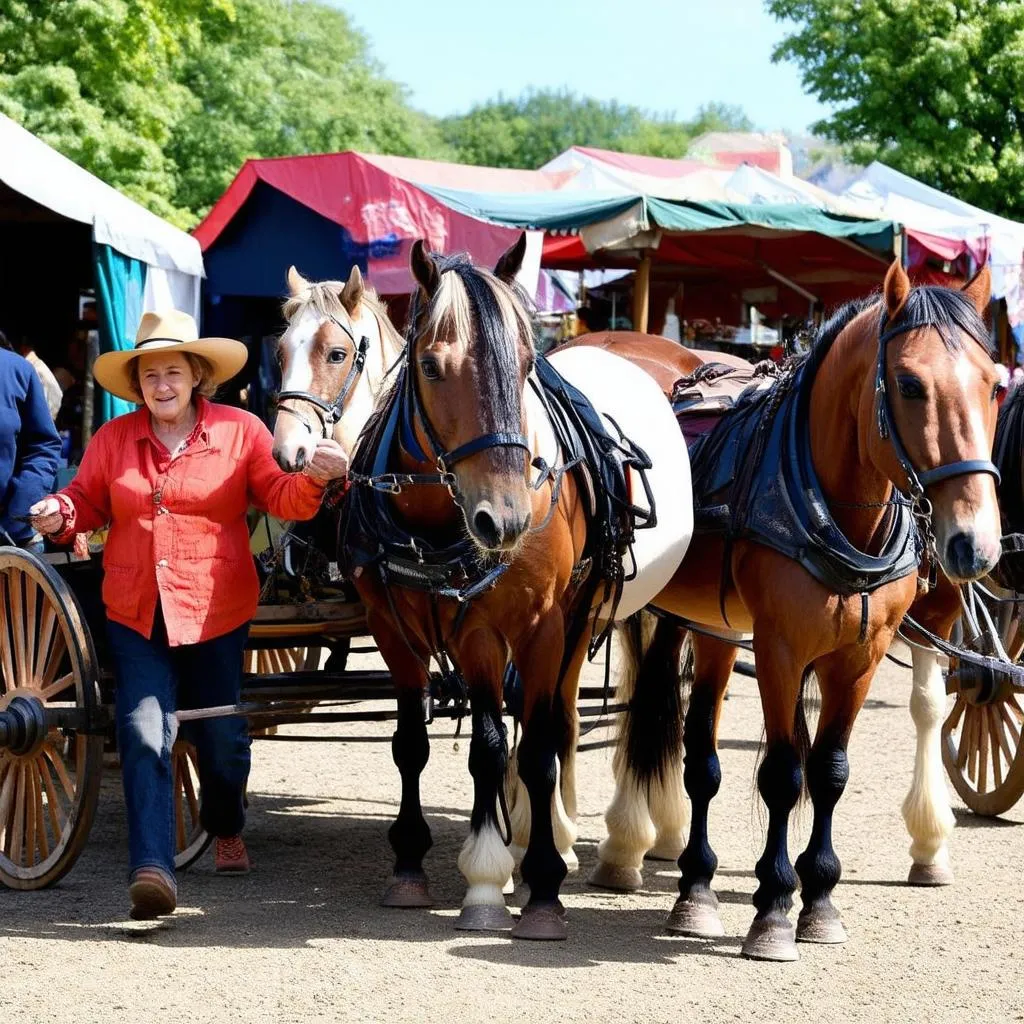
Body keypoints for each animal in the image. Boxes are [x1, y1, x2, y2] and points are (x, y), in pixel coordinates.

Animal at [339, 237, 692, 937]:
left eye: (527, 363)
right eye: (430, 365)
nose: (502, 520)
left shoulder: (517, 626)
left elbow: (522, 750)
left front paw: (532, 887)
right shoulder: (398, 631)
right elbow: (430, 744)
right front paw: (424, 865)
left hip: (631, 617)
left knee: (622, 711)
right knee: (554, 718)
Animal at [585, 264, 999, 958]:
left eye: (994, 384)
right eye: (910, 384)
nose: (976, 542)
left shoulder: (857, 657)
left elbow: (827, 770)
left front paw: (820, 900)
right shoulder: (779, 648)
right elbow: (782, 772)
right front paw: (775, 909)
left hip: (706, 623)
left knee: (696, 747)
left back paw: (686, 878)